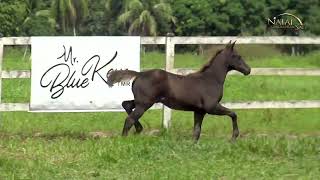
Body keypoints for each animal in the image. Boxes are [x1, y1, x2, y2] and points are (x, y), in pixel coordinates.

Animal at [106, 40, 251, 141]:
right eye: (237, 56)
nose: (248, 70)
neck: (211, 79)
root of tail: (139, 74)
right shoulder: (211, 107)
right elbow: (233, 114)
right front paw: (234, 137)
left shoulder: (199, 111)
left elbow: (196, 132)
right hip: (145, 103)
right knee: (129, 119)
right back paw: (126, 138)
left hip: (142, 101)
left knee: (126, 105)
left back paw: (139, 129)